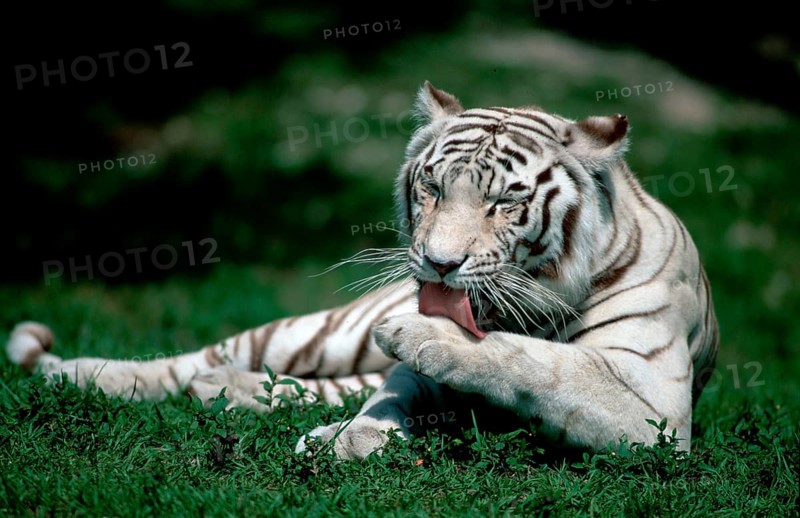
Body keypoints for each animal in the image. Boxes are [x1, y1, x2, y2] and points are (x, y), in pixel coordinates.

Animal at [6, 81, 719, 460]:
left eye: (504, 202)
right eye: (432, 187)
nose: (439, 264)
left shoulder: (653, 405)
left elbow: (542, 363)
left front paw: (418, 340)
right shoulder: (409, 376)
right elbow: (389, 398)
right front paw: (346, 442)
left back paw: (226, 391)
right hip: (317, 332)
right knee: (192, 360)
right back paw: (79, 372)